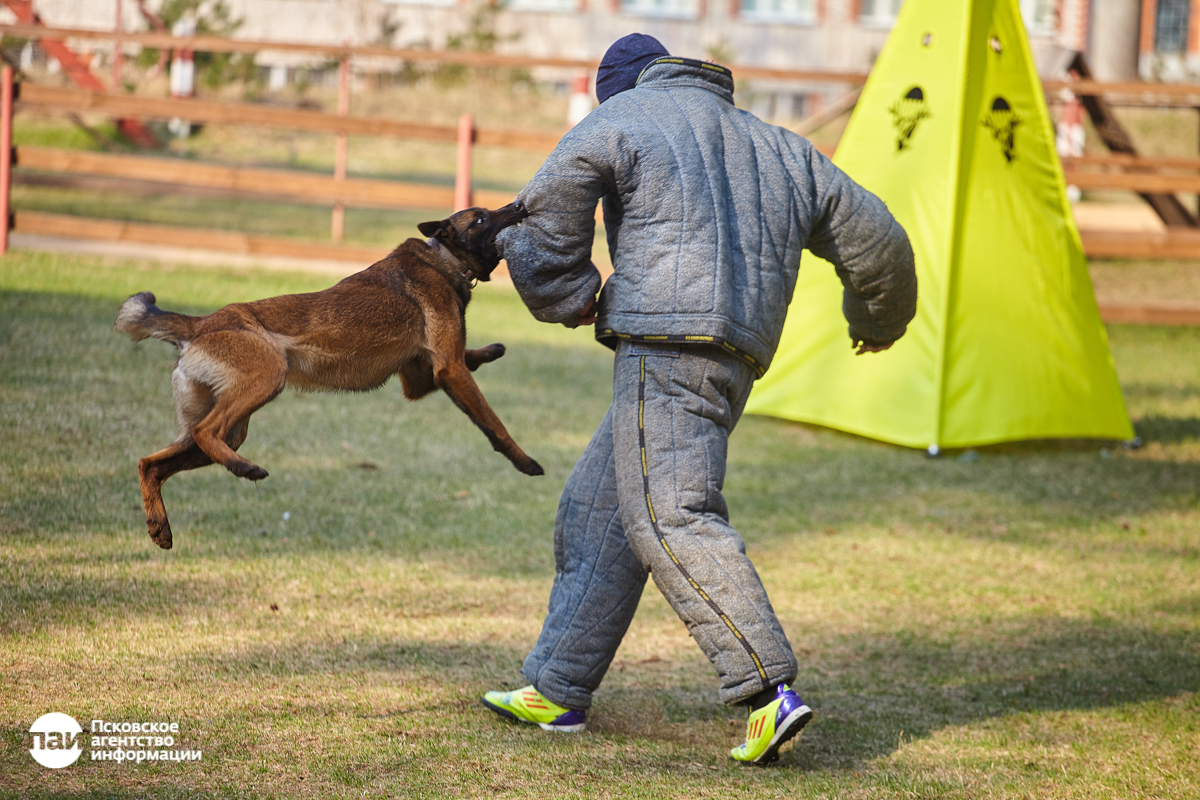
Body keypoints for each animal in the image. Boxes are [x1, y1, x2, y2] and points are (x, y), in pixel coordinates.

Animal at [115, 203, 540, 546]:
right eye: (482, 217)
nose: (519, 206)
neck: (445, 257)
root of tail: (201, 323)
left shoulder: (421, 378)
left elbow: (467, 359)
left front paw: (492, 350)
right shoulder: (449, 370)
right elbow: (493, 421)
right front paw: (524, 461)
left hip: (229, 425)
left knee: (151, 463)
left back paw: (160, 526)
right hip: (266, 378)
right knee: (205, 433)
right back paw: (244, 468)